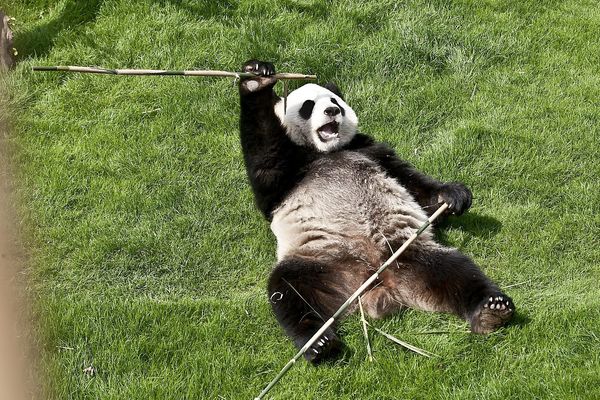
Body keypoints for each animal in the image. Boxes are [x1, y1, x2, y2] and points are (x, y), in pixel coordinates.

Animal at [239, 61, 516, 364]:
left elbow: (413, 184)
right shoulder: (285, 174)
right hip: (319, 260)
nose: (332, 111)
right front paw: (255, 80)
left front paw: (453, 196)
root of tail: (375, 284)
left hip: (408, 253)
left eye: (334, 101)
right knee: (288, 291)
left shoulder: (370, 150)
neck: (325, 151)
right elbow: (266, 159)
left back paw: (491, 310)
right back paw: (318, 342)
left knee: (457, 272)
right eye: (308, 105)